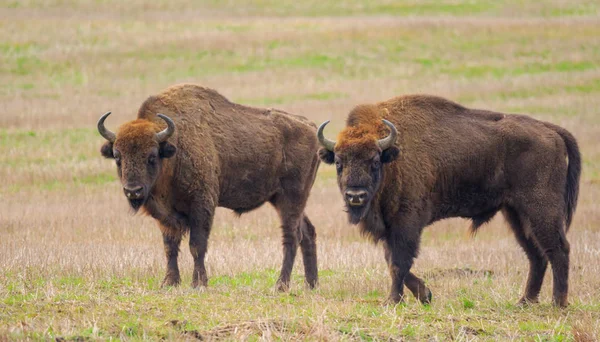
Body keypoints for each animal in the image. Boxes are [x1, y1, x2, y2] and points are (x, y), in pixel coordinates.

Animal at [98, 84, 322, 290]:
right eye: (117, 157)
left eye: (152, 156)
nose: (133, 191)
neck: (175, 146)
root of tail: (311, 127)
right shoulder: (166, 216)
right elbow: (170, 247)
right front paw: (170, 283)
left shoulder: (202, 204)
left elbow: (197, 245)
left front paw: (199, 283)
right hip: (284, 199)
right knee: (307, 232)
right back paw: (311, 284)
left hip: (290, 198)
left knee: (292, 236)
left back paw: (281, 285)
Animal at [316, 94, 580, 308]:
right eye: (339, 162)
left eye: (374, 161)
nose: (356, 196)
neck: (393, 156)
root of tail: (550, 130)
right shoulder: (388, 228)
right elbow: (393, 260)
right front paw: (424, 295)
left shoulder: (406, 223)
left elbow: (399, 262)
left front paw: (393, 300)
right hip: (516, 213)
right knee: (536, 255)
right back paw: (524, 301)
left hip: (541, 210)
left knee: (558, 249)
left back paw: (558, 302)